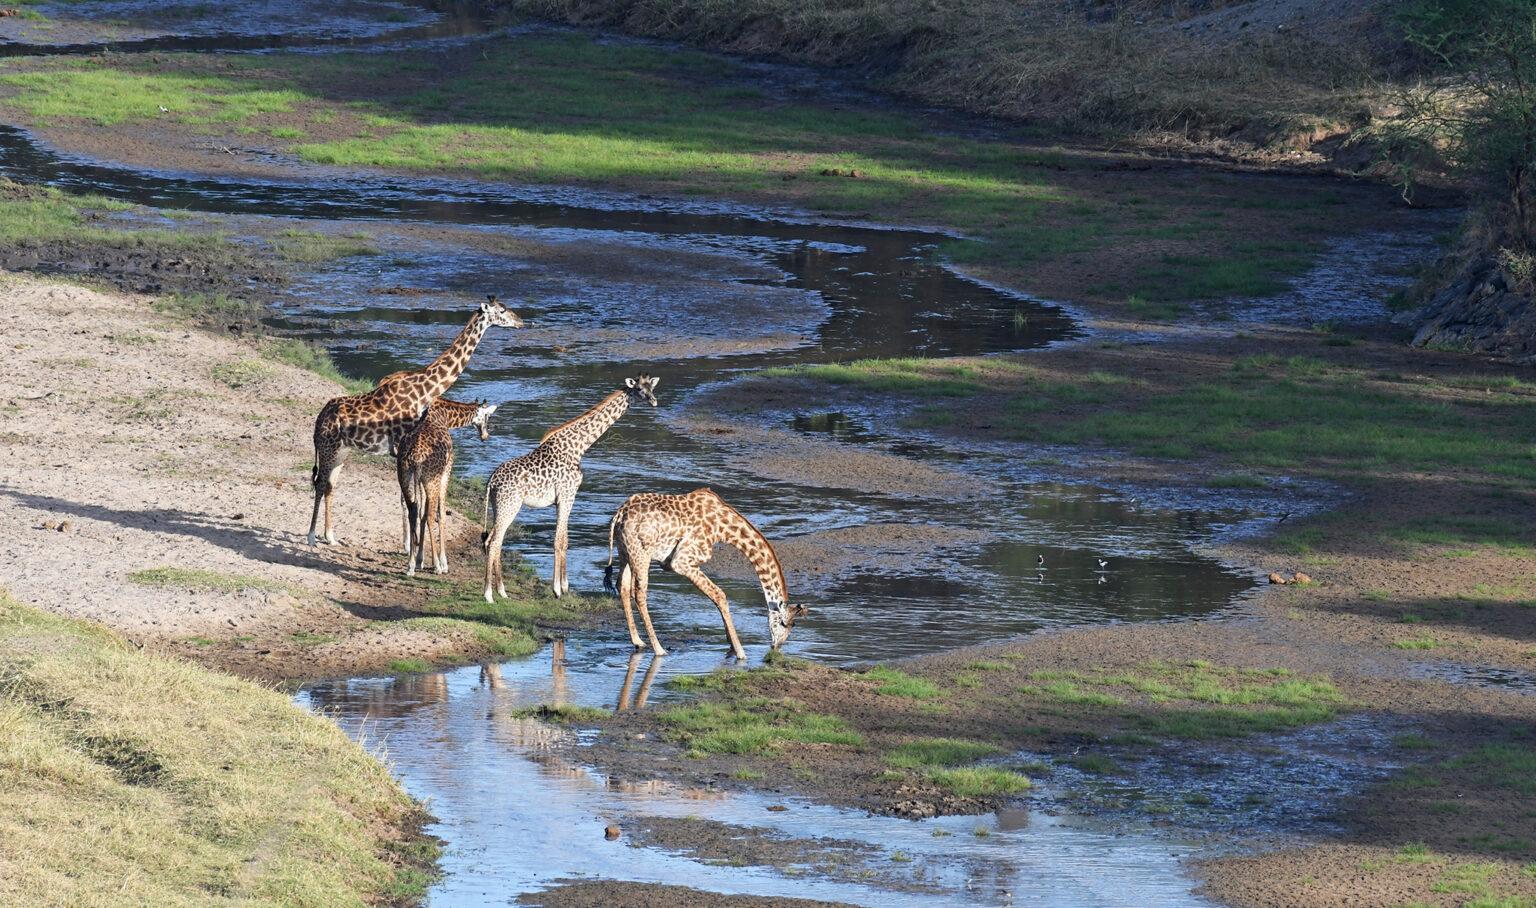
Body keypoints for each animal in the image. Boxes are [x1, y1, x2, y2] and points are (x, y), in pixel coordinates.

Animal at [304, 294, 522, 546]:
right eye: (502, 310)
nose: (521, 322)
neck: (422, 391)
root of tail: (318, 420)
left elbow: (406, 498)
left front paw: (408, 543)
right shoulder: (402, 447)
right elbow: (407, 499)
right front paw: (410, 544)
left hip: (342, 451)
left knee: (330, 485)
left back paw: (330, 537)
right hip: (328, 448)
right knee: (320, 483)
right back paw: (311, 536)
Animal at [482, 373, 657, 608]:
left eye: (651, 387)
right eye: (639, 389)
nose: (654, 401)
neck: (578, 446)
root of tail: (491, 481)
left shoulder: (564, 498)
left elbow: (565, 540)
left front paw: (565, 587)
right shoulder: (567, 495)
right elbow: (558, 540)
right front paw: (557, 589)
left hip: (499, 506)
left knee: (493, 541)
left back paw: (501, 591)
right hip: (509, 506)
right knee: (493, 542)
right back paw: (489, 595)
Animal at [605, 491, 811, 660]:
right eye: (784, 623)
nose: (776, 647)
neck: (723, 528)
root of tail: (619, 516)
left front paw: (731, 645)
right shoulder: (682, 562)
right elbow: (720, 595)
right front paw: (740, 652)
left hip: (625, 552)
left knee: (622, 586)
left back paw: (638, 641)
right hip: (642, 554)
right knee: (640, 593)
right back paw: (659, 649)